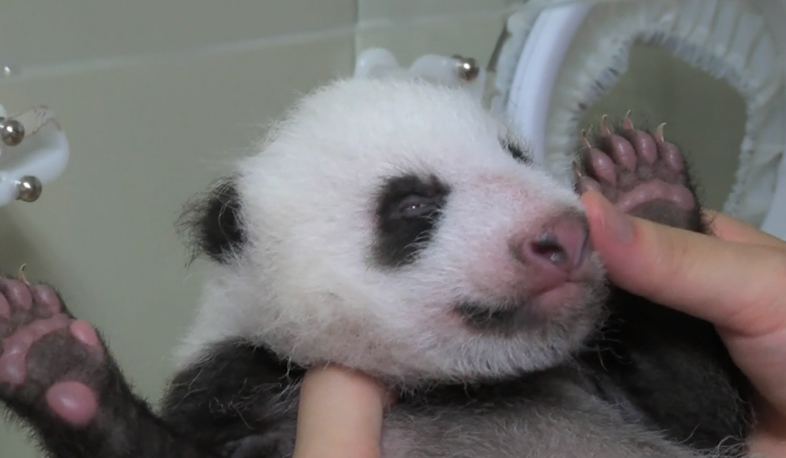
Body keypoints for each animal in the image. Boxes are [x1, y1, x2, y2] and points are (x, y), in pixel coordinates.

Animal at [0, 77, 752, 458]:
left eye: (516, 156)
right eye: (414, 204)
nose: (561, 237)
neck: (453, 388)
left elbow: (710, 418)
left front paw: (646, 195)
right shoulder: (240, 383)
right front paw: (54, 359)